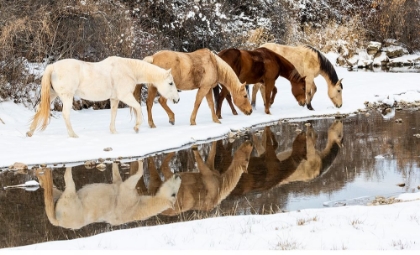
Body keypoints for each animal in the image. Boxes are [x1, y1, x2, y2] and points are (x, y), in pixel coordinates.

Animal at [24, 56, 179, 137]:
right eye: (171, 83)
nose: (177, 99)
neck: (128, 69)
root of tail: (53, 67)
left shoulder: (115, 99)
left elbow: (113, 114)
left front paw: (114, 131)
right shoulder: (125, 96)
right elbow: (138, 108)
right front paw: (136, 127)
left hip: (52, 94)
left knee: (39, 109)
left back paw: (30, 132)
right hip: (67, 97)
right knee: (65, 114)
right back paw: (73, 135)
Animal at [35, 160, 181, 230]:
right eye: (175, 193)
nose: (178, 176)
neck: (137, 208)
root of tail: (58, 221)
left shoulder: (126, 188)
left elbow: (138, 174)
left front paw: (139, 162)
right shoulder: (119, 184)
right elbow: (116, 174)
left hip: (70, 195)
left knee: (65, 180)